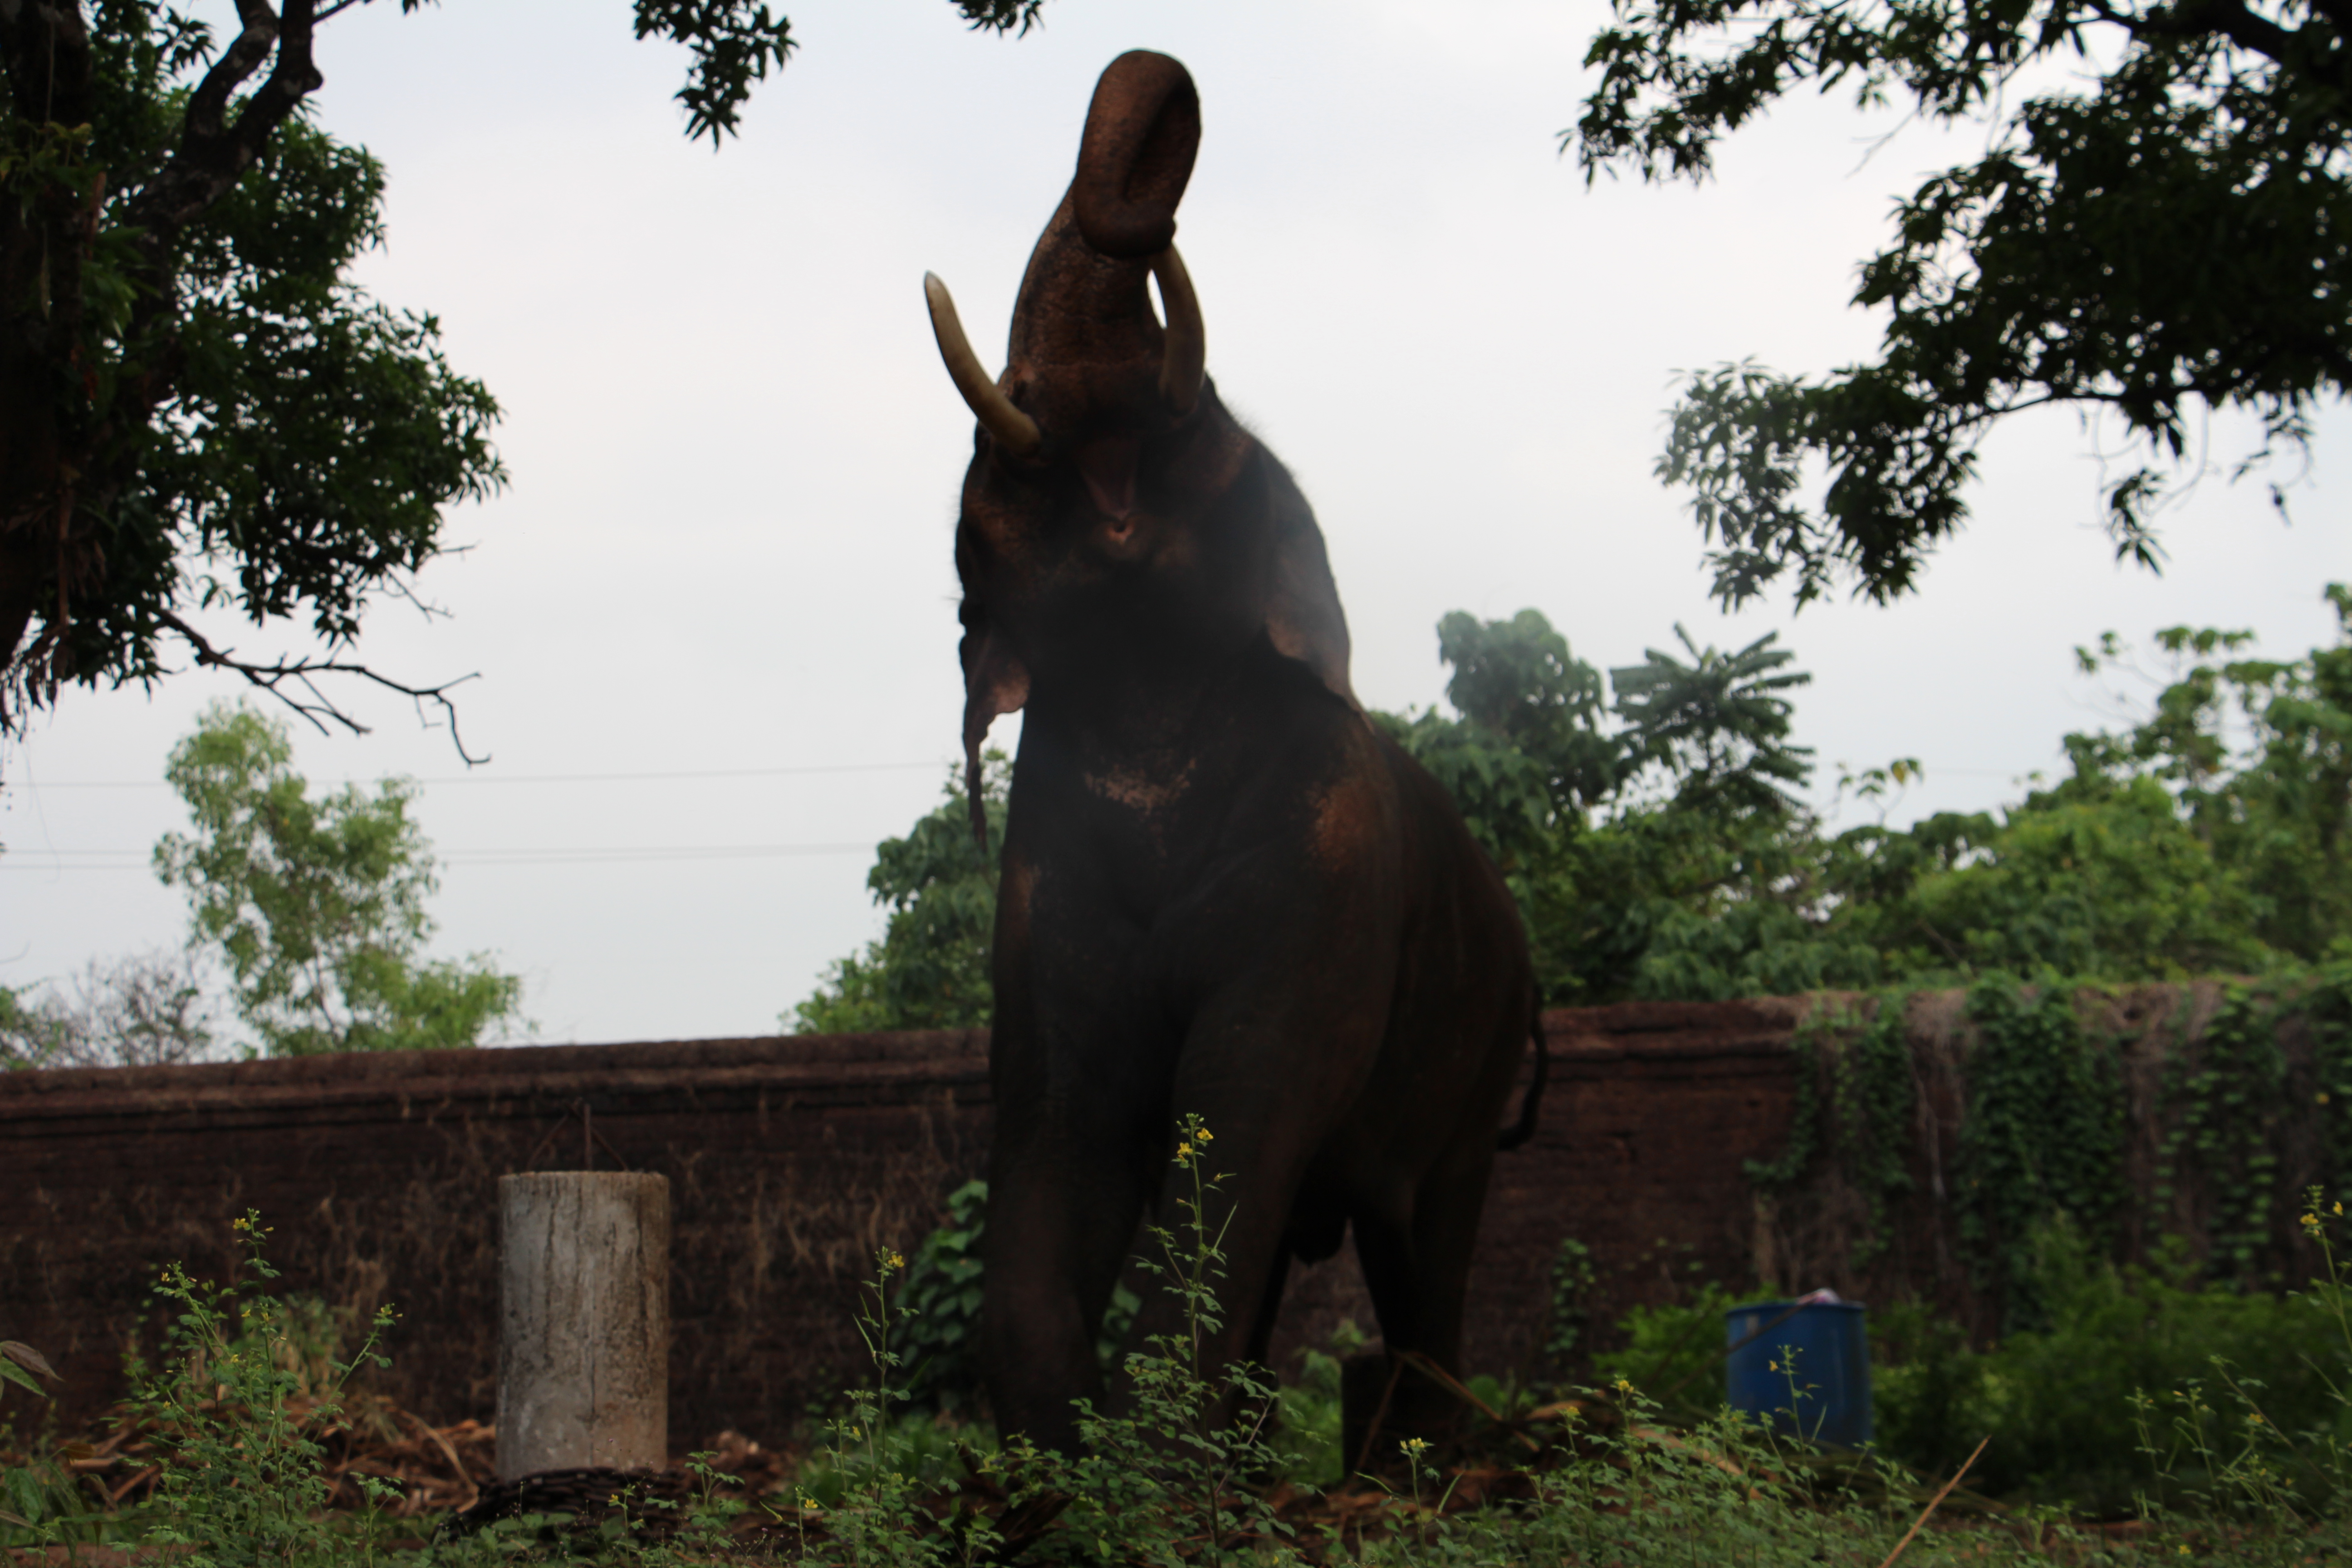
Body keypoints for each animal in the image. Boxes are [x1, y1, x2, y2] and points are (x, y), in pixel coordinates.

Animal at [920, 49, 1545, 1456]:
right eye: (992, 431)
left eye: (1201, 408)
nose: (1148, 217)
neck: (1151, 682)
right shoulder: (1043, 888)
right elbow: (1063, 1105)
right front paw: (1062, 1453)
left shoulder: (1331, 876)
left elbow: (1246, 1096)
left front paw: (1144, 1453)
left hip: (1478, 1046)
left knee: (1424, 1245)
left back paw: (1430, 1463)